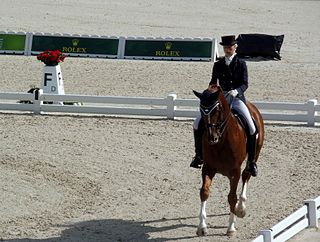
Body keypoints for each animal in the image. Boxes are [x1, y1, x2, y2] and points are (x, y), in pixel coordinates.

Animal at [192, 87, 264, 236]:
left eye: (217, 109)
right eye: (201, 109)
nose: (211, 138)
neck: (221, 141)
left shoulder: (234, 171)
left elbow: (232, 197)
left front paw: (231, 227)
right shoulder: (208, 168)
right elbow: (204, 192)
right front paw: (202, 227)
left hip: (255, 154)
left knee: (246, 175)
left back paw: (241, 209)